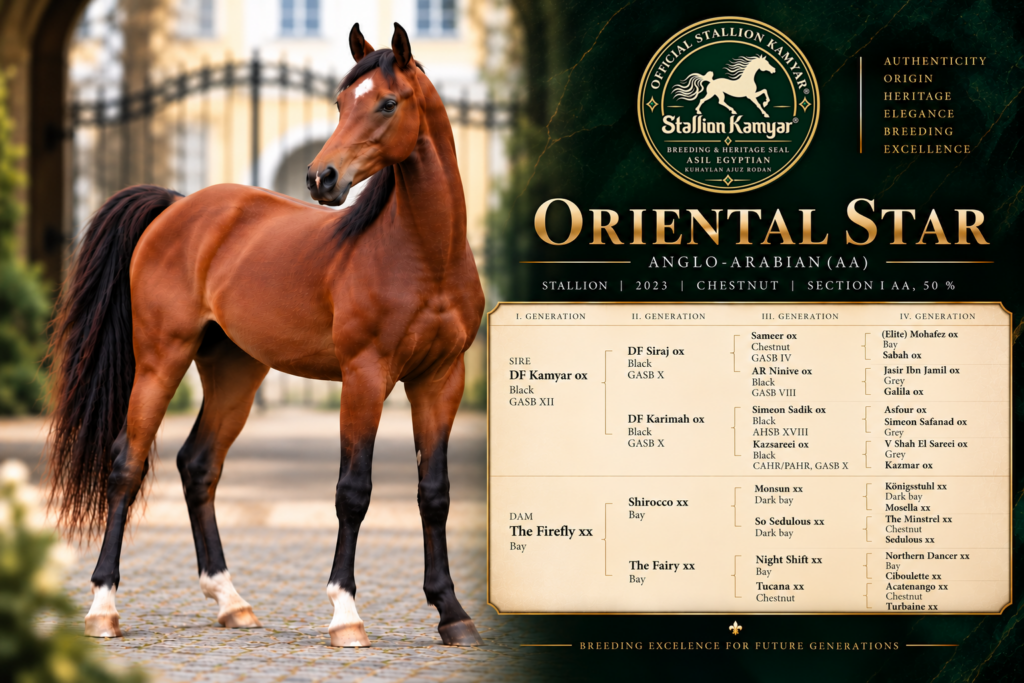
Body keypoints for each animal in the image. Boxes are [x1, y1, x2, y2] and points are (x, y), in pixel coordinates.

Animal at [44, 23, 484, 648]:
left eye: (388, 102)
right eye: (340, 102)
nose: (321, 177)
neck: (425, 255)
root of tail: (177, 208)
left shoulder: (441, 379)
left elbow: (435, 494)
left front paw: (452, 613)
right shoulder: (365, 376)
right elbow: (353, 490)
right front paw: (346, 614)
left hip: (235, 372)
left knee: (198, 465)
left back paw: (232, 602)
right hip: (160, 360)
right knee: (126, 464)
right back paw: (103, 607)